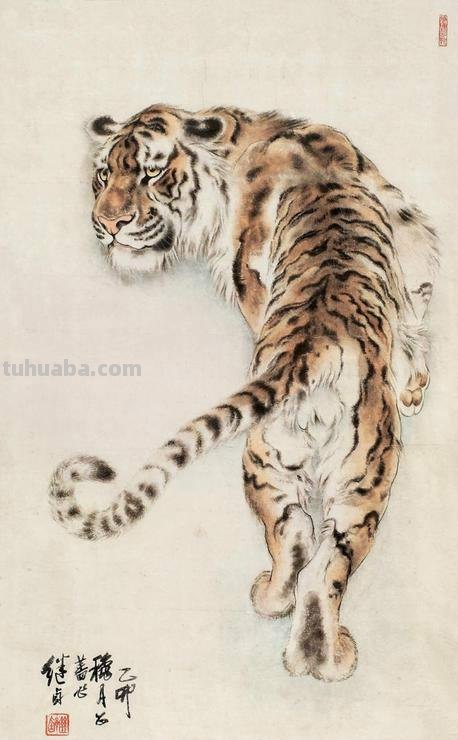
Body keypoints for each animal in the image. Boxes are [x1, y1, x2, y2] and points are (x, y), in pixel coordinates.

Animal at [49, 104, 439, 681]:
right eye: (102, 176)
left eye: (151, 174)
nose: (107, 225)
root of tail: (311, 349)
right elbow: (414, 308)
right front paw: (412, 386)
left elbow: (414, 312)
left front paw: (413, 387)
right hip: (332, 477)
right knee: (316, 558)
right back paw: (316, 651)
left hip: (301, 468)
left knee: (303, 544)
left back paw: (295, 630)